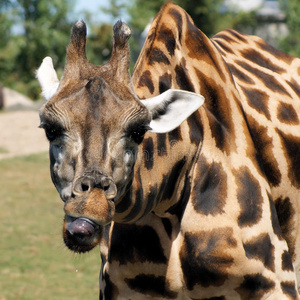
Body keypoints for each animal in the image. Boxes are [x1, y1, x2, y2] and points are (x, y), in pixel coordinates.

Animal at [35, 2, 300, 300]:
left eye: (139, 131)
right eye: (50, 129)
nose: (87, 213)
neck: (170, 201)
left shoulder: (277, 281)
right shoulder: (120, 289)